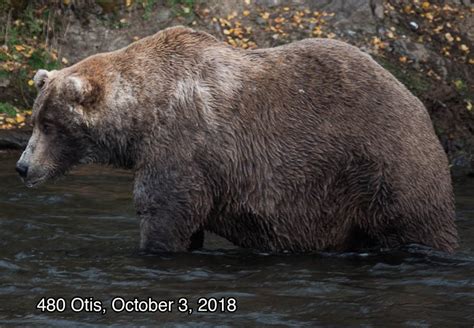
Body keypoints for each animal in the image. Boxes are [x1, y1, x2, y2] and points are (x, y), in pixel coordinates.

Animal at [16, 26, 458, 254]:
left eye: (49, 124)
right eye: (36, 118)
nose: (22, 167)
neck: (142, 117)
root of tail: (417, 104)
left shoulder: (181, 147)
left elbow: (165, 212)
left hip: (382, 164)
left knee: (418, 225)